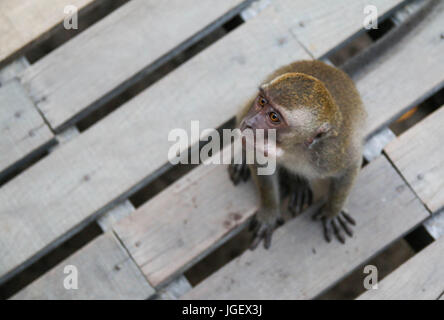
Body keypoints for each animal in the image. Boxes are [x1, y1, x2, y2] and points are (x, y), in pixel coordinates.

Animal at [227, 60, 366, 250]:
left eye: (274, 117)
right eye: (262, 101)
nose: (249, 123)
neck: (293, 148)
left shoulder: (332, 153)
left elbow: (351, 166)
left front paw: (333, 211)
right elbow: (259, 162)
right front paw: (270, 211)